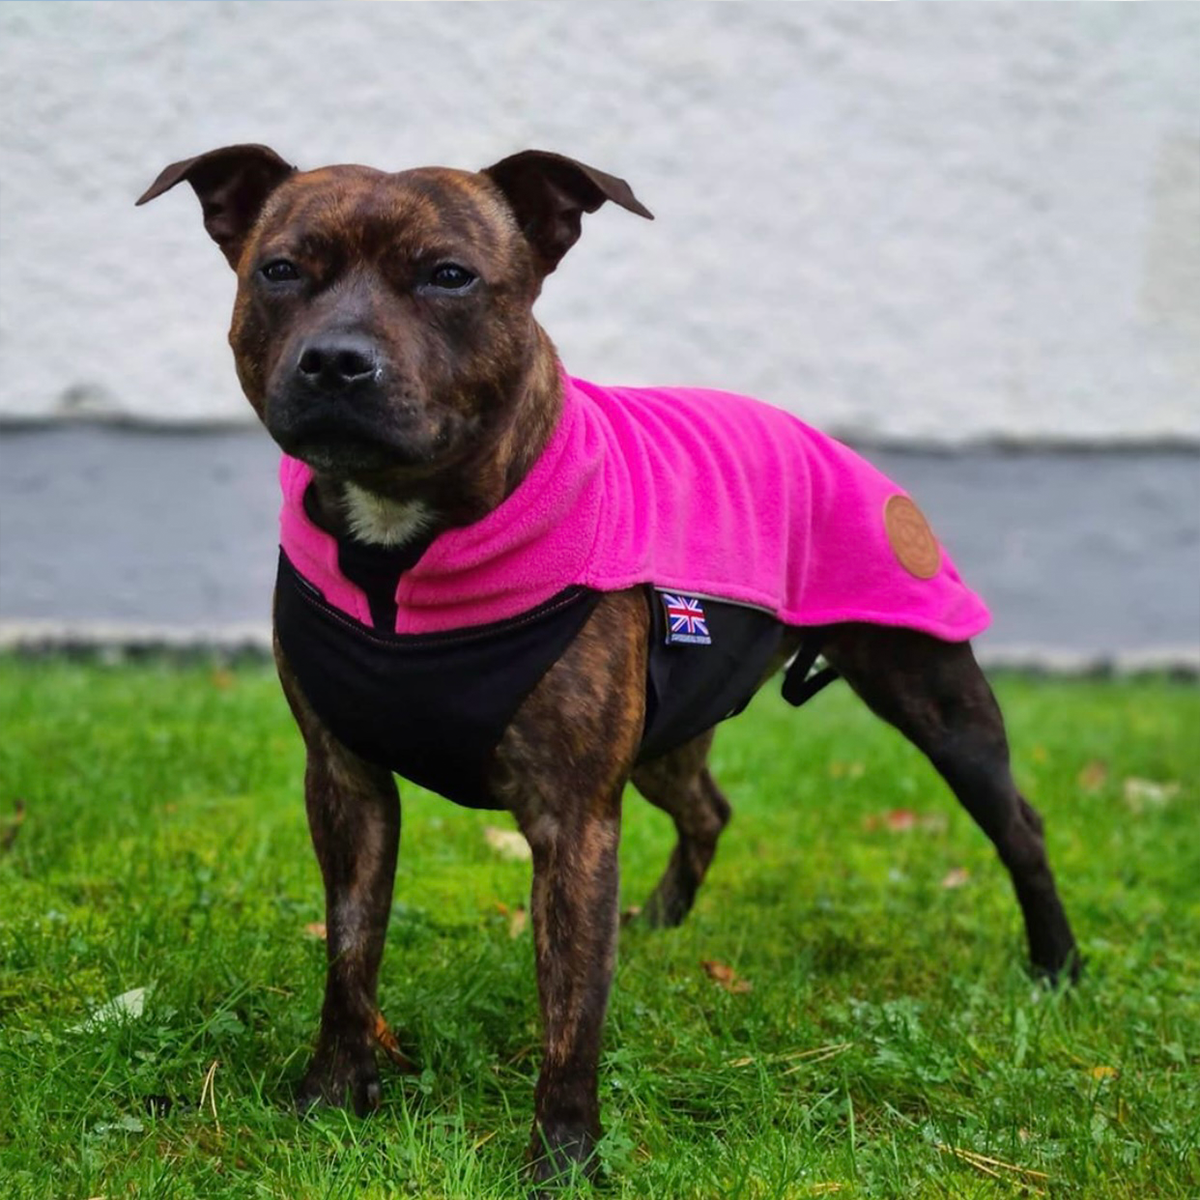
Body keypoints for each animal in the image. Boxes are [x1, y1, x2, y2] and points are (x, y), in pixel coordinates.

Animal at [138, 145, 1080, 1185]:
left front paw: (562, 1159)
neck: (398, 542)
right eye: (279, 270)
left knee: (1019, 824)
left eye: (449, 275)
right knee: (708, 808)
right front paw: (331, 1097)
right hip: (669, 737)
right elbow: (350, 953)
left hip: (937, 697)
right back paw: (665, 920)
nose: (338, 359)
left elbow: (572, 1008)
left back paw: (1057, 966)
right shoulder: (346, 784)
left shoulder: (573, 817)